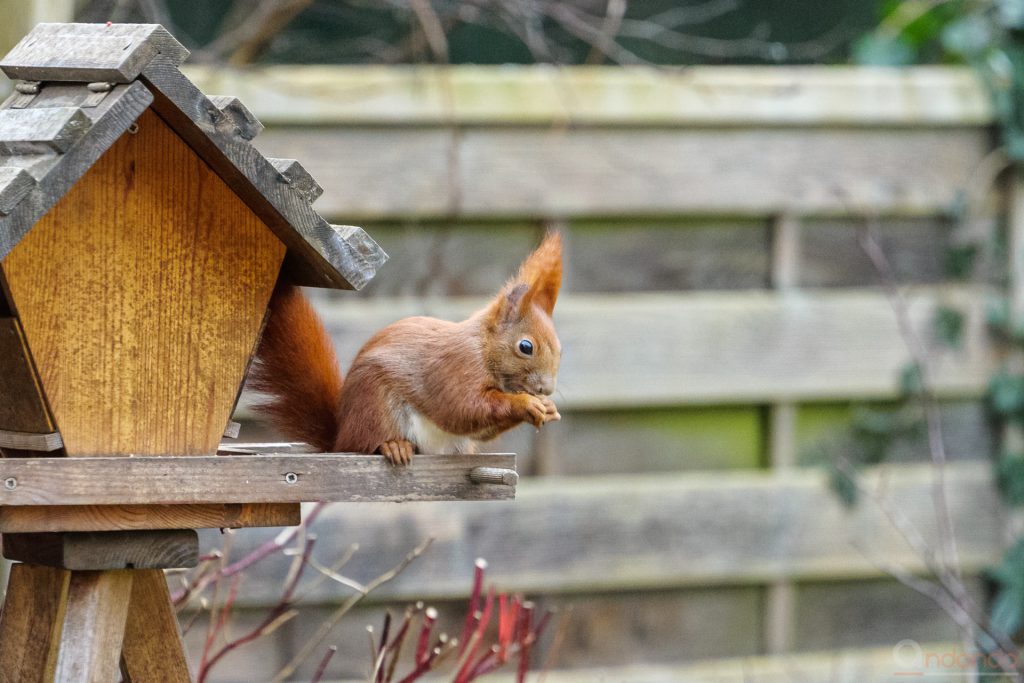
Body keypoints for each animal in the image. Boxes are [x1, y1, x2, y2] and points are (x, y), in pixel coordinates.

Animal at [250, 231, 565, 464]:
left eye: (560, 349)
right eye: (526, 346)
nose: (547, 389)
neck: (484, 349)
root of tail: (340, 436)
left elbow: (479, 429)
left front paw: (547, 407)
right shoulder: (454, 369)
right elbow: (464, 408)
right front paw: (526, 403)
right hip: (373, 408)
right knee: (367, 443)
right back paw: (393, 446)